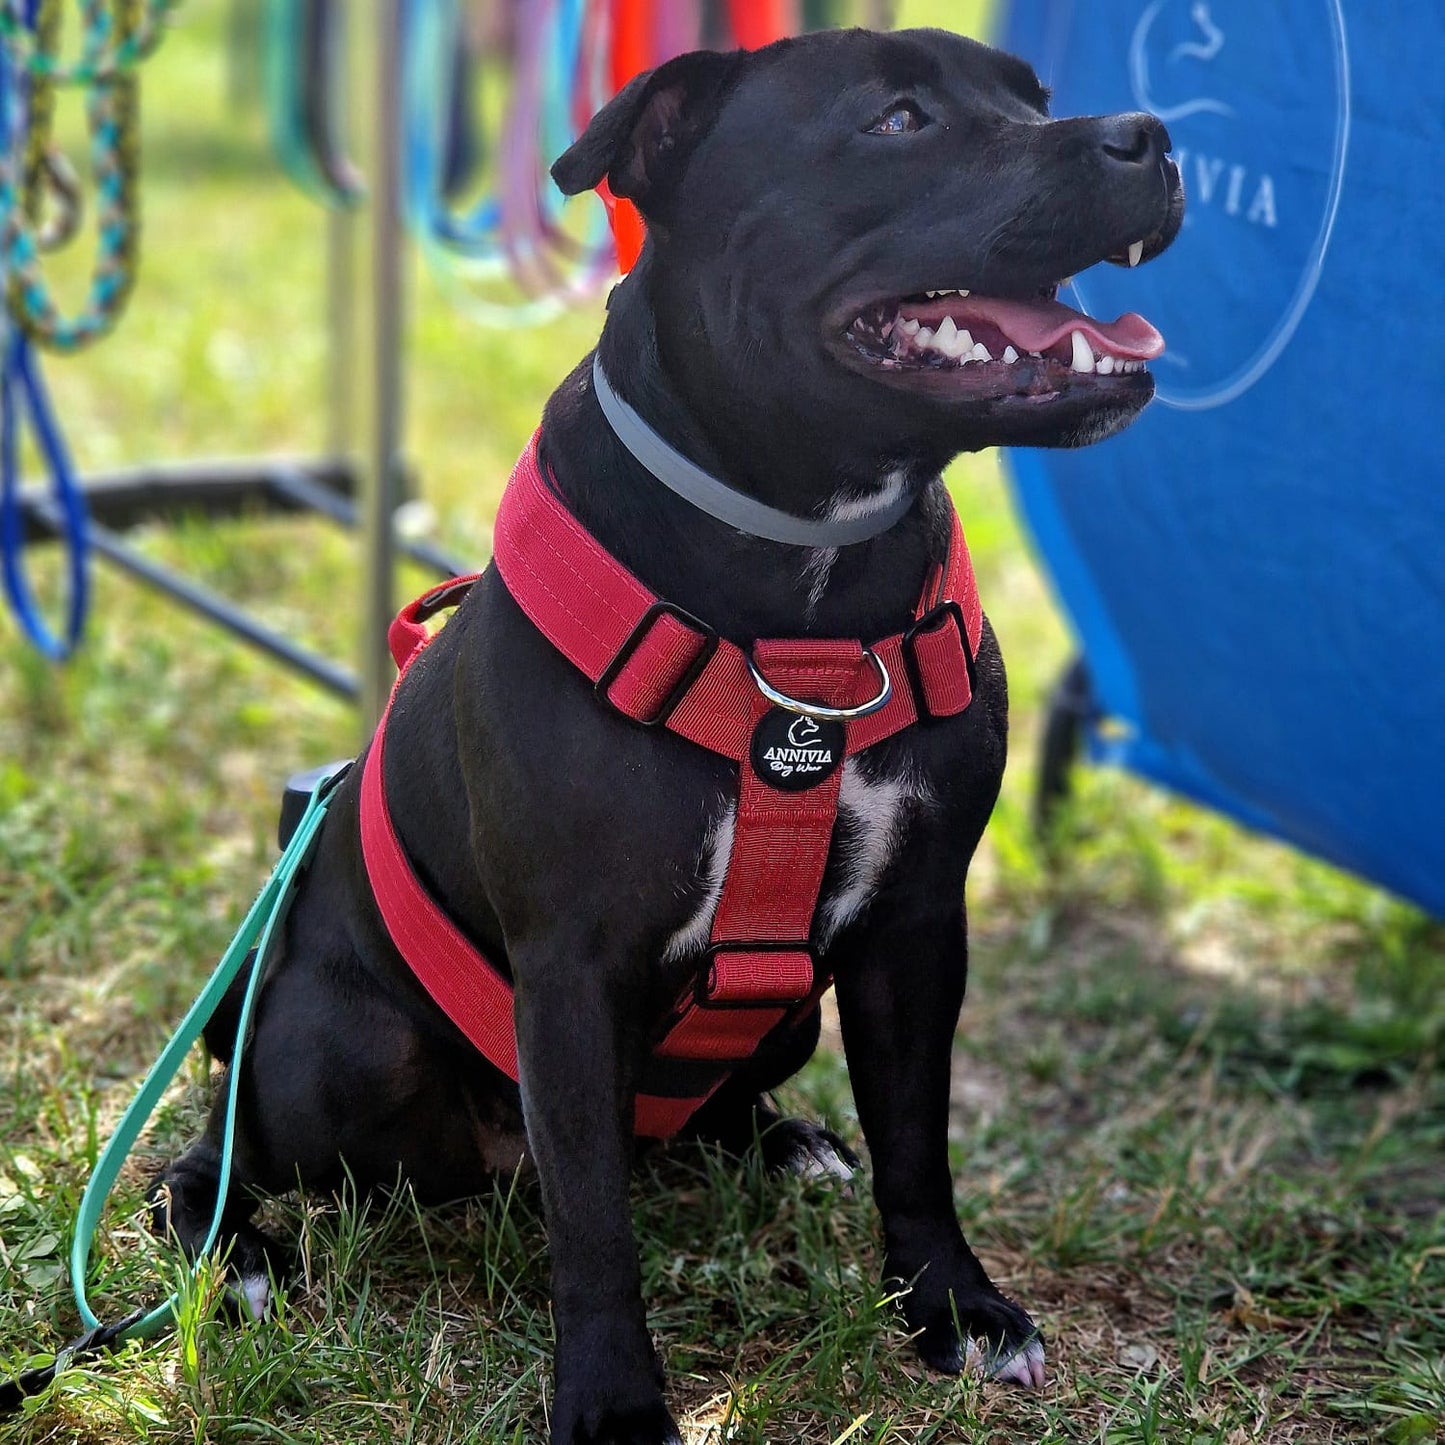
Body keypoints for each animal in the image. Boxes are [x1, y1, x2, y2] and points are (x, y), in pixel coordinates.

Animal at [149, 25, 1184, 1445]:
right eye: (898, 120)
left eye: (1029, 94)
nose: (1150, 134)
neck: (805, 576)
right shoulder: (573, 967)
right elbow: (592, 1219)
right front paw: (610, 1397)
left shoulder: (917, 925)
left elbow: (917, 1144)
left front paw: (954, 1307)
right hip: (334, 1049)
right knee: (217, 1141)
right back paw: (235, 1248)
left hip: (790, 1014)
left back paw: (782, 1139)